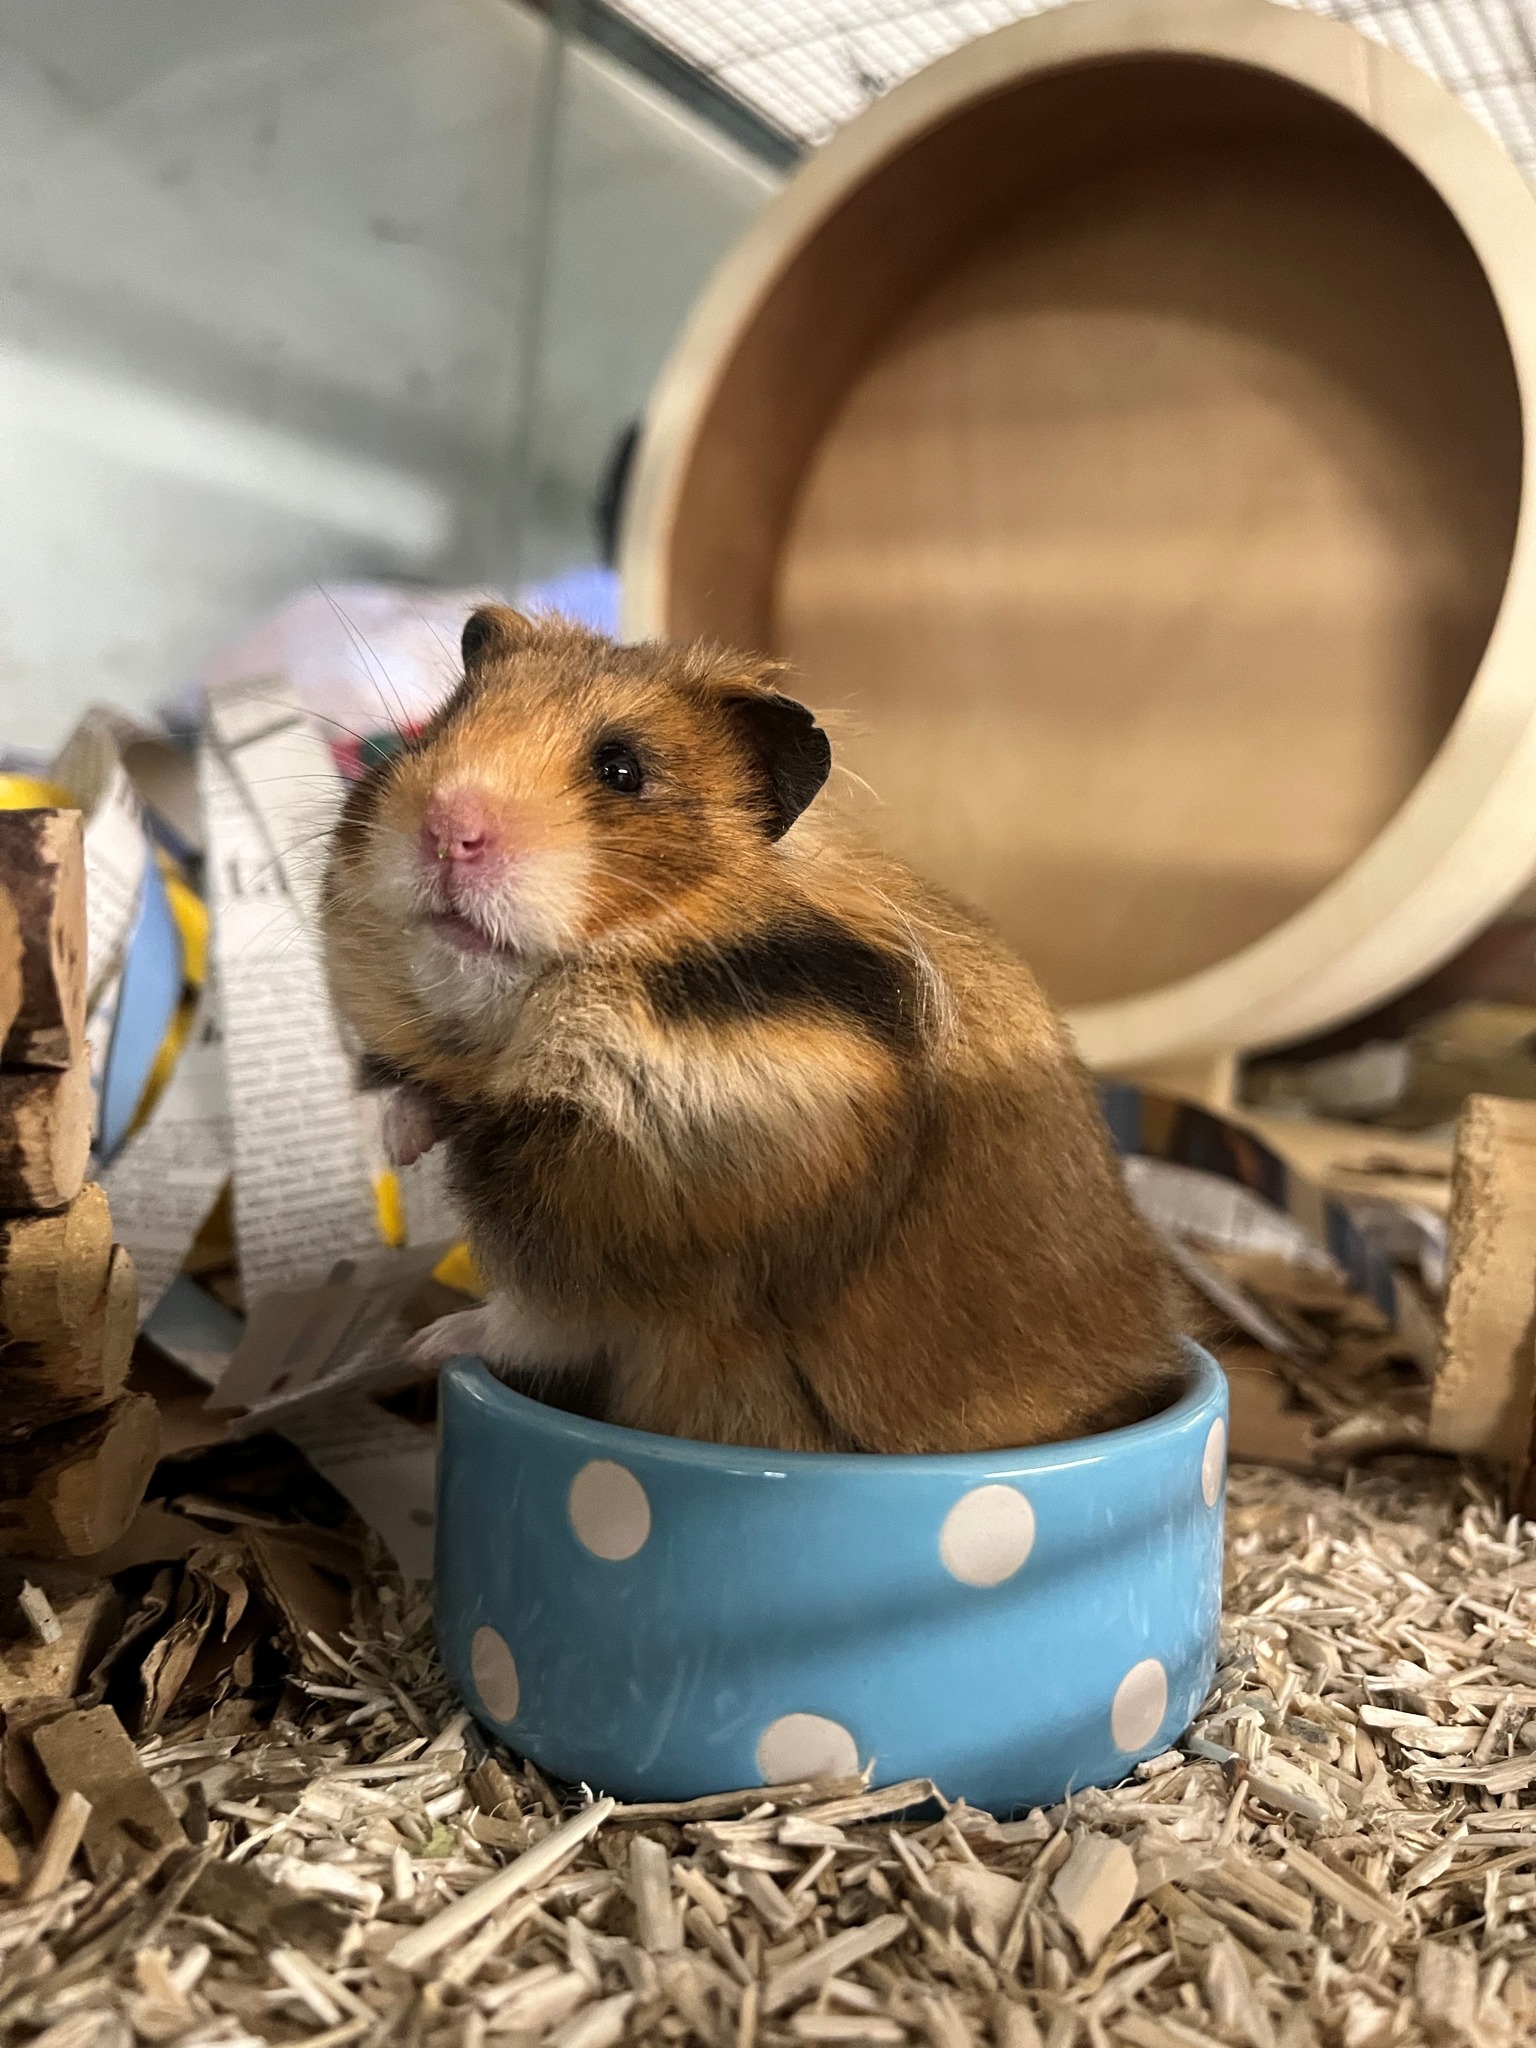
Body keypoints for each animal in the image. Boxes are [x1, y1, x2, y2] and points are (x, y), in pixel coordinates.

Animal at [321, 606, 1185, 1454]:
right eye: (438, 727)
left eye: (623, 771)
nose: (446, 832)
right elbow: (439, 1097)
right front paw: (400, 1141)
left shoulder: (652, 1260)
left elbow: (536, 1321)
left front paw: (426, 1344)